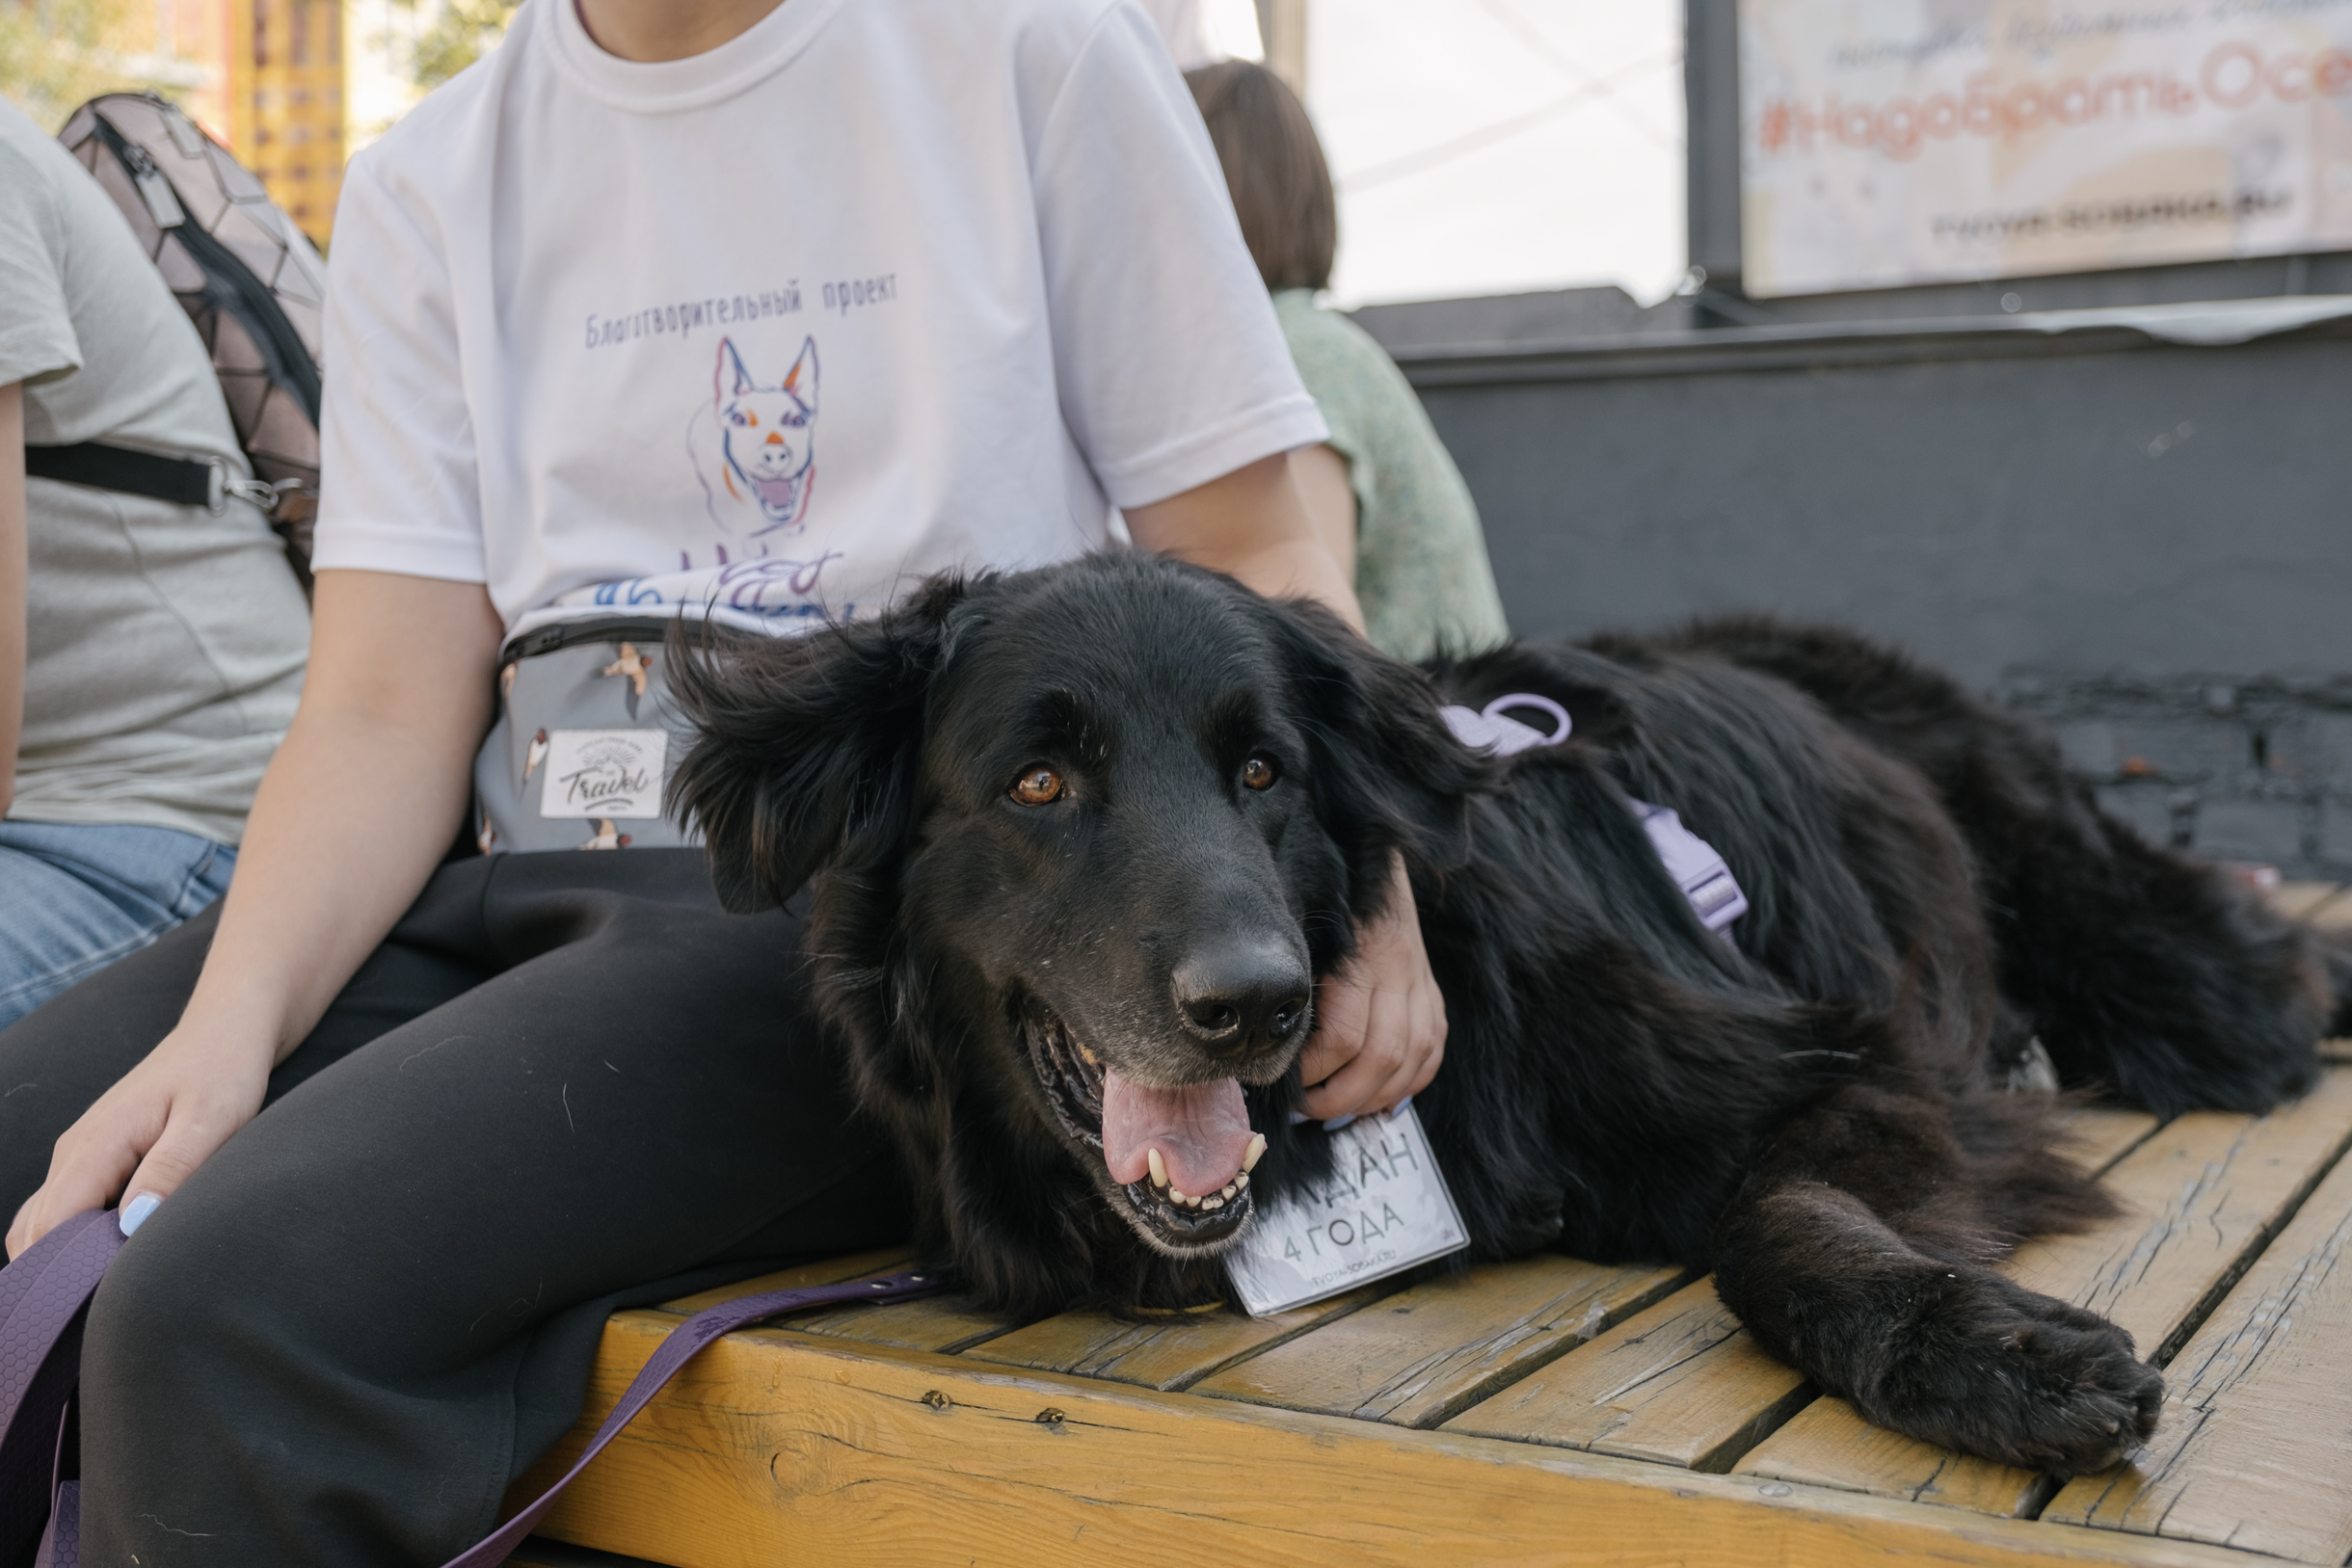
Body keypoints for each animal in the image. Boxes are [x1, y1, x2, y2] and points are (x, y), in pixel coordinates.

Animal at [663, 554, 2333, 1485]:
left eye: (1264, 770)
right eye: (1036, 781)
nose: (1257, 1002)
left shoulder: (1844, 1064)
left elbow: (1773, 1221)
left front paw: (1989, 1354)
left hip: (2169, 969)